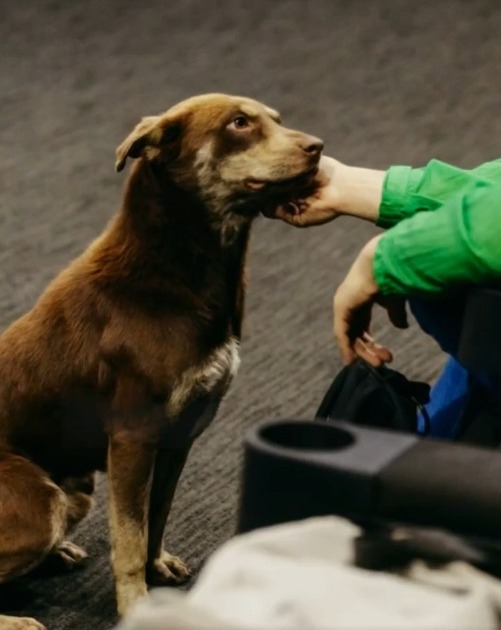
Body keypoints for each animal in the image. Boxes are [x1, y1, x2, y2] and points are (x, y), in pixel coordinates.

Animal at [0, 94, 322, 630]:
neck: (179, 270)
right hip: (39, 501)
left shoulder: (179, 434)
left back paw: (60, 553)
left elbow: (157, 516)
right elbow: (129, 537)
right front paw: (136, 604)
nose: (317, 147)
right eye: (239, 123)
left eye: (276, 120)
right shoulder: (133, 438)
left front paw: (159, 568)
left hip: (77, 489)